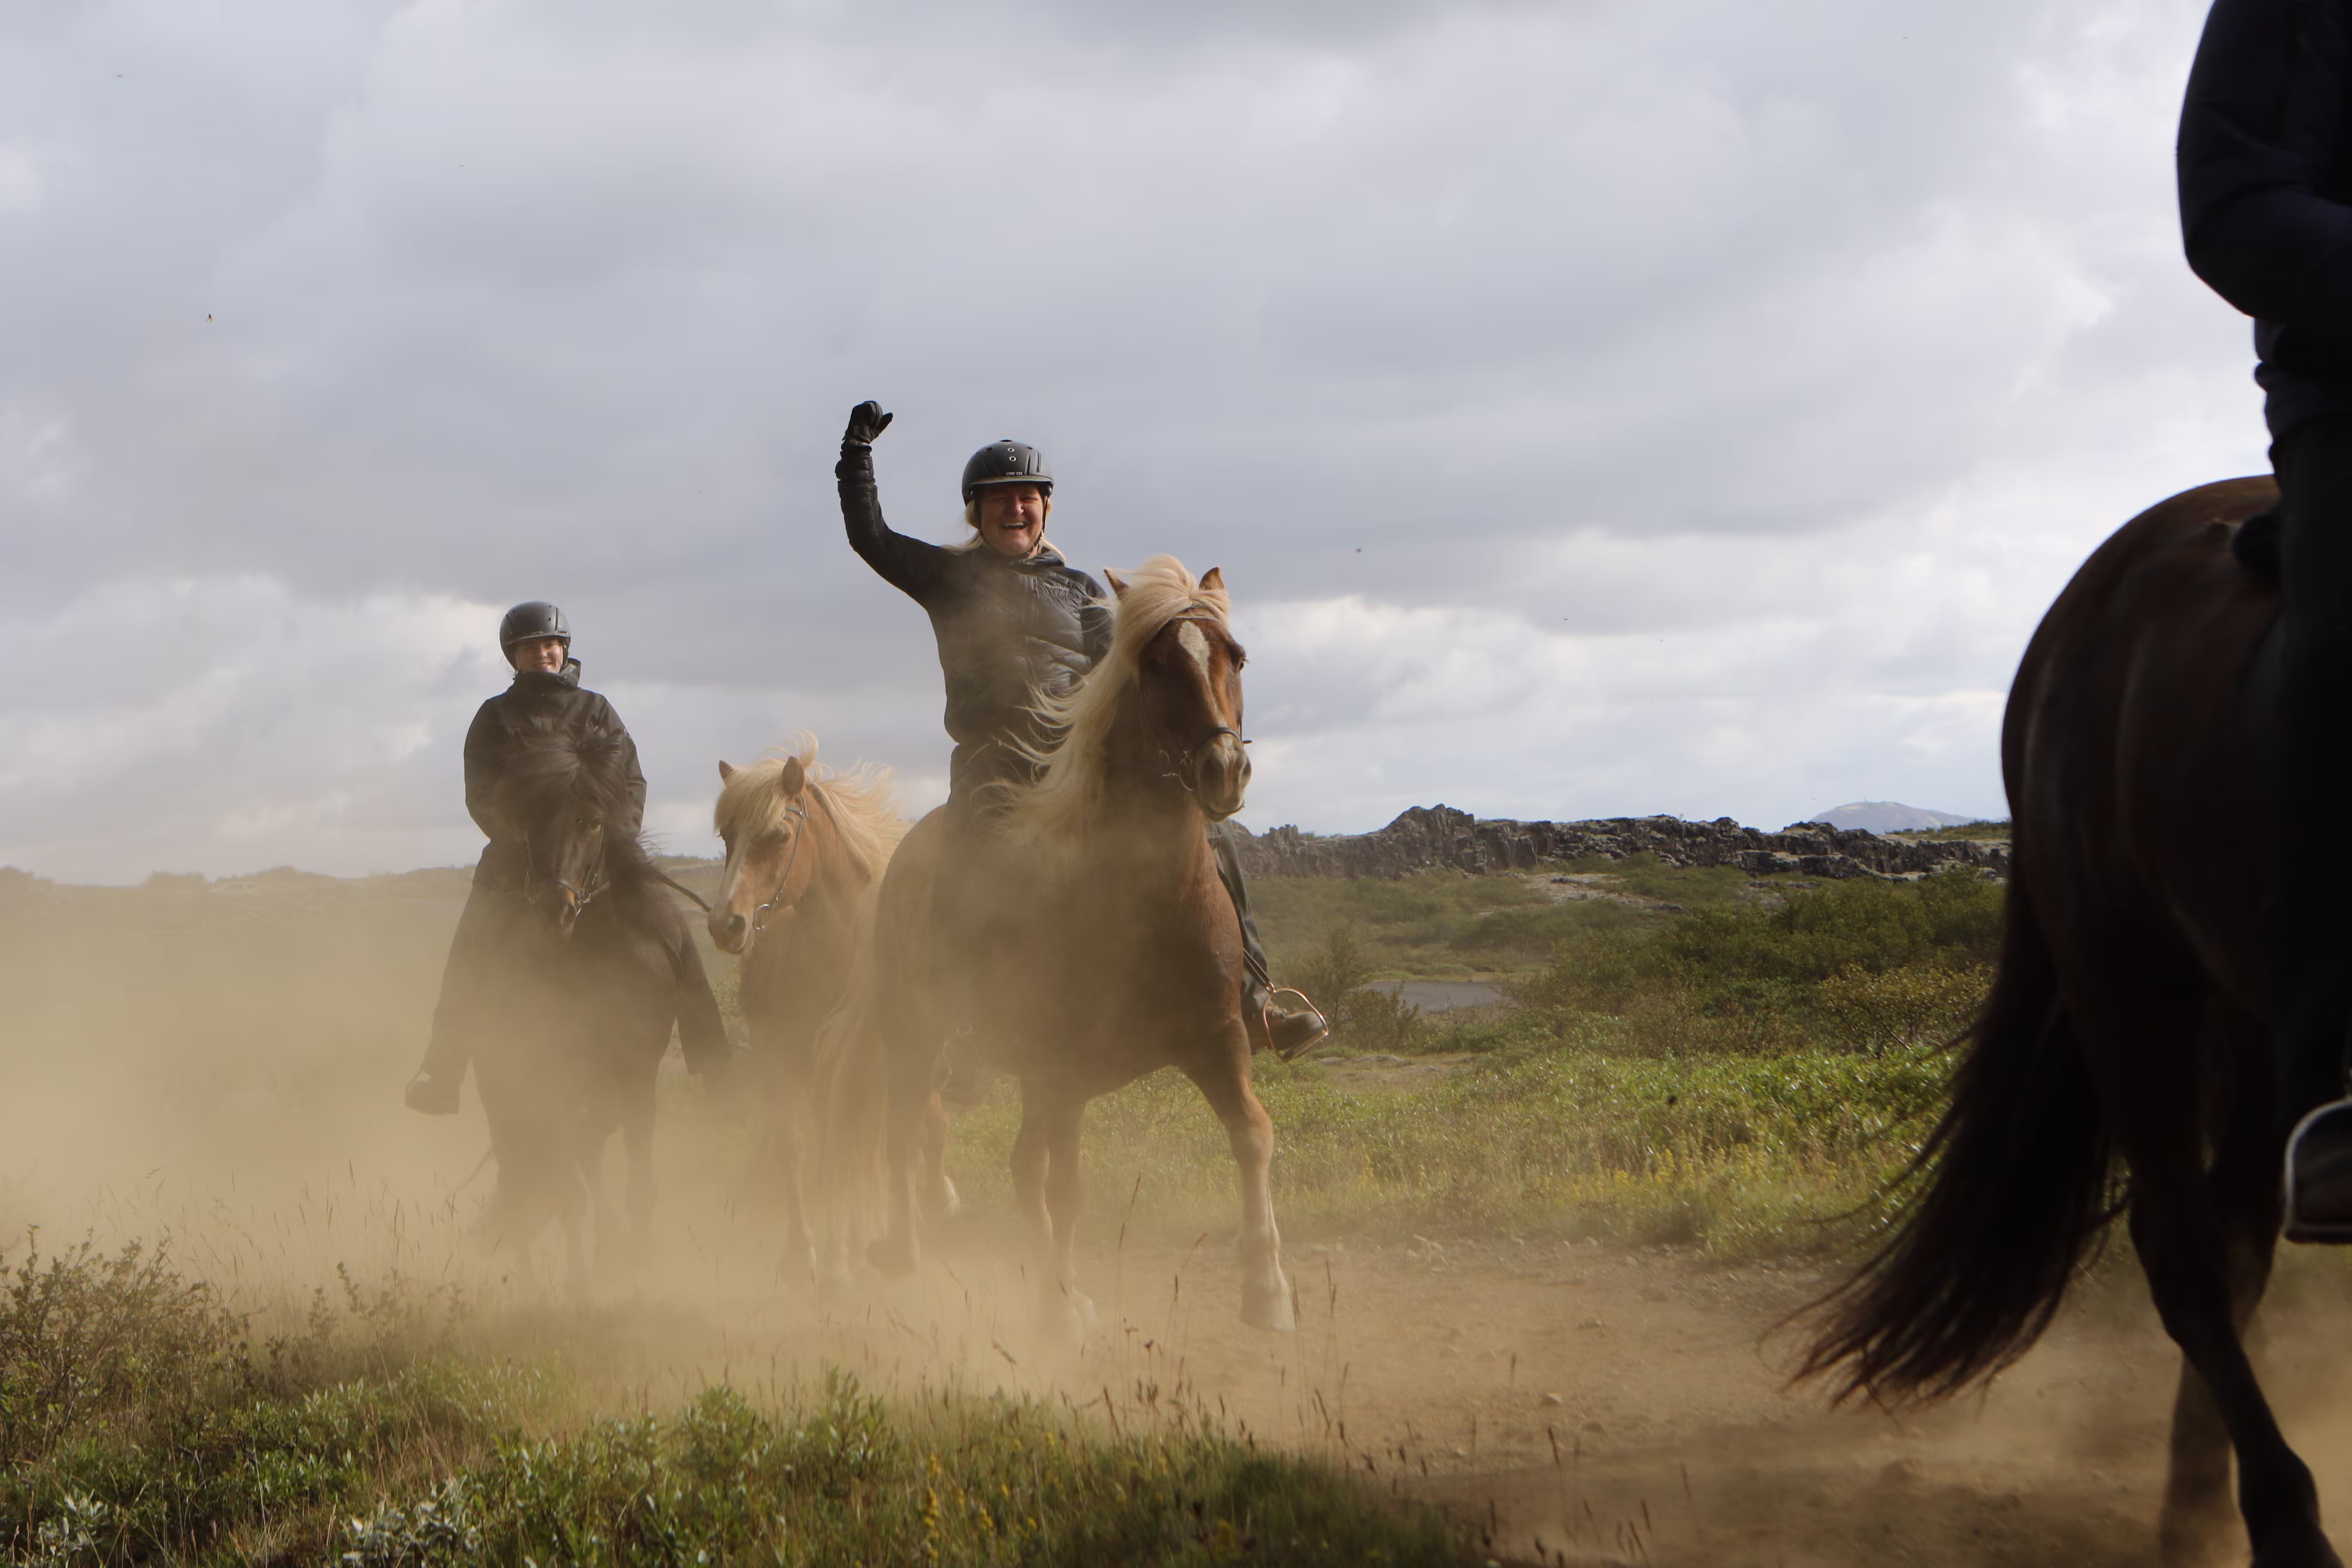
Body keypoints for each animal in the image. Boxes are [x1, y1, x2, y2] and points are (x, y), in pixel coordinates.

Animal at [472, 723, 729, 1285]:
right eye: (530, 820)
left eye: (593, 822)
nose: (556, 909)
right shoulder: (553, 1074)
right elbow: (568, 1176)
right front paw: (586, 1276)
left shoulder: (636, 1070)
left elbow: (617, 1162)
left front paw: (633, 1250)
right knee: (522, 1168)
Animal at [708, 739, 954, 1280]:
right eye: (727, 835)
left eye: (780, 834)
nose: (725, 925)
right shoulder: (784, 1060)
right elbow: (801, 1150)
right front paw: (804, 1254)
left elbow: (875, 1145)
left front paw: (848, 1255)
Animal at [817, 555, 1292, 1337]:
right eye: (1155, 662)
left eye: (1236, 655)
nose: (1224, 769)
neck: (1141, 906)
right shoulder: (1063, 1068)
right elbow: (1066, 1187)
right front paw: (1062, 1309)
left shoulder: (1219, 1039)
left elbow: (1252, 1135)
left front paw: (1268, 1290)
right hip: (921, 1037)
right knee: (907, 1130)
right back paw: (906, 1250)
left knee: (1018, 1164)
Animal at [1796, 475, 2349, 1567]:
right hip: (2126, 977)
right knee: (2184, 1251)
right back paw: (2274, 1523)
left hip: (2247, 1013)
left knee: (2235, 1236)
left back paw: (2199, 1510)